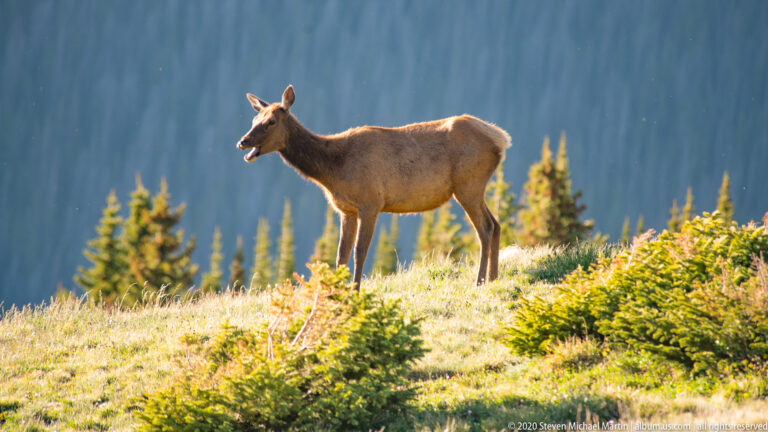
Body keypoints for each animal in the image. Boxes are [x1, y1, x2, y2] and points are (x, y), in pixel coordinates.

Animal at [237, 85, 510, 288]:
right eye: (254, 118)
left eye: (271, 121)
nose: (243, 141)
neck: (333, 171)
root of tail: (501, 138)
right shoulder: (345, 209)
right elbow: (340, 254)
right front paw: (335, 293)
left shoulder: (370, 203)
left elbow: (360, 251)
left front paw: (355, 291)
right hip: (474, 188)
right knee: (496, 224)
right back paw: (494, 278)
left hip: (468, 185)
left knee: (485, 228)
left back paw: (480, 281)